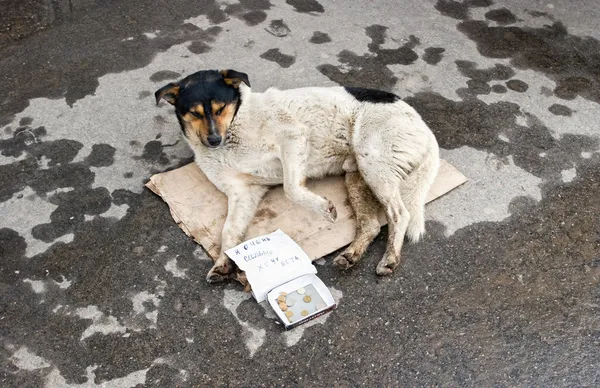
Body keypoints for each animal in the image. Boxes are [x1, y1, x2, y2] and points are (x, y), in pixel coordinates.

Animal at [155, 69, 440, 284]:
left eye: (221, 107)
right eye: (195, 113)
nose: (214, 140)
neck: (235, 127)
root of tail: (426, 129)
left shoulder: (293, 138)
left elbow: (291, 188)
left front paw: (323, 208)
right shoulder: (242, 193)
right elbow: (230, 232)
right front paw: (224, 262)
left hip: (374, 163)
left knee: (399, 214)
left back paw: (390, 258)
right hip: (358, 174)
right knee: (370, 225)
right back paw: (351, 255)